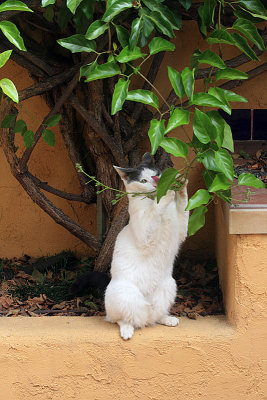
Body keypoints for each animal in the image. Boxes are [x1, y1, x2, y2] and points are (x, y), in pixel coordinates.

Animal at [105, 152, 191, 340]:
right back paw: (127, 330)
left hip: (169, 285)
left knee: (154, 316)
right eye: (143, 181)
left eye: (157, 175)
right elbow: (154, 211)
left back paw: (167, 319)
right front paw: (166, 194)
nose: (155, 183)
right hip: (125, 293)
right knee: (121, 318)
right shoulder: (145, 236)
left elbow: (183, 205)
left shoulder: (181, 233)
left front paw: (180, 184)